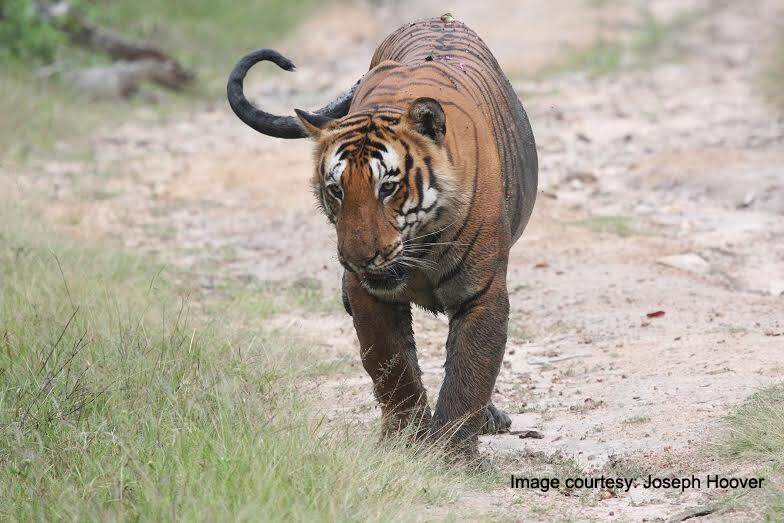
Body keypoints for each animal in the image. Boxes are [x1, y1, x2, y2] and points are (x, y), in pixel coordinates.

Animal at [227, 15, 538, 461]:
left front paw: (453, 456)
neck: (420, 248)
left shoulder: (481, 292)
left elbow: (469, 372)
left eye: (387, 188)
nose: (359, 258)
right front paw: (406, 443)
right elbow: (393, 367)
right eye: (336, 190)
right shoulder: (367, 294)